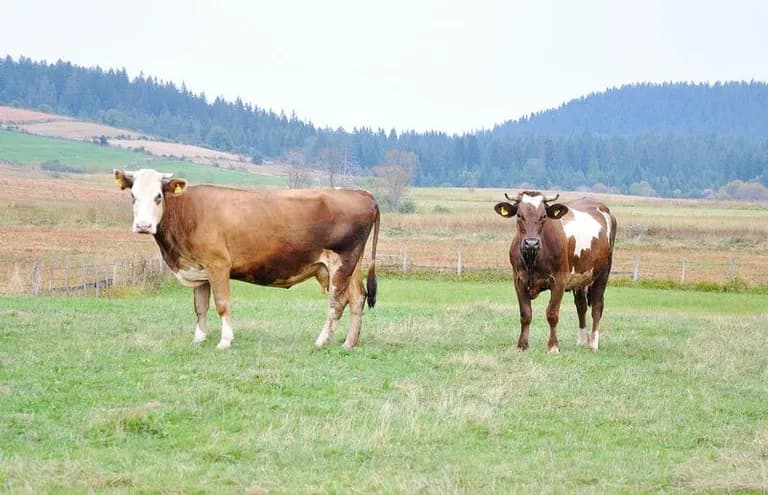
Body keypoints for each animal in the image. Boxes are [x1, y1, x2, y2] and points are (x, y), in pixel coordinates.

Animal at [115, 169, 380, 350]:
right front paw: (198, 338)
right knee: (357, 298)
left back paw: (322, 340)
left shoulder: (218, 264)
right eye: (133, 196)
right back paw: (349, 343)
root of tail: (361, 193)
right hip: (352, 265)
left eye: (158, 196)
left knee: (337, 303)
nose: (143, 225)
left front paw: (225, 341)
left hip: (341, 262)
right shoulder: (198, 269)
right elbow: (200, 307)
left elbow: (222, 304)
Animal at [496, 192, 616, 354]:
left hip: (603, 273)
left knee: (597, 306)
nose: (531, 243)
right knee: (581, 306)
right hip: (579, 278)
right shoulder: (518, 280)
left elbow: (552, 314)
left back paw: (593, 343)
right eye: (519, 215)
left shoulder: (559, 280)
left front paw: (553, 346)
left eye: (544, 216)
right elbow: (525, 314)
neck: (533, 258)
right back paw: (581, 341)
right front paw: (522, 345)